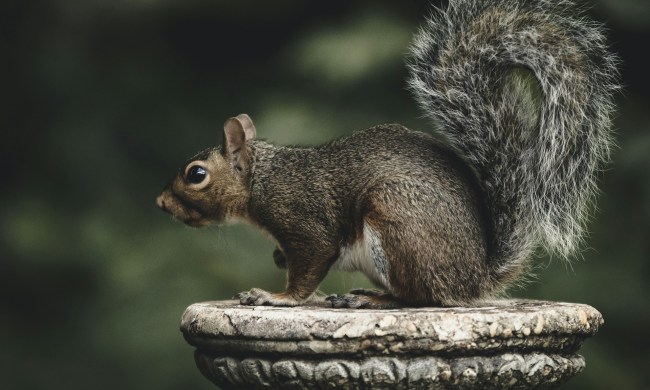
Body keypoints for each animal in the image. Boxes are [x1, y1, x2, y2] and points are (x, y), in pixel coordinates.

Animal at [154, 0, 616, 308]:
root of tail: (474, 279)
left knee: (422, 298)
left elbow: (308, 269)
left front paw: (276, 296)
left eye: (196, 174)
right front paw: (277, 262)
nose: (160, 203)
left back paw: (373, 300)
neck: (264, 179)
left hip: (397, 220)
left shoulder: (305, 222)